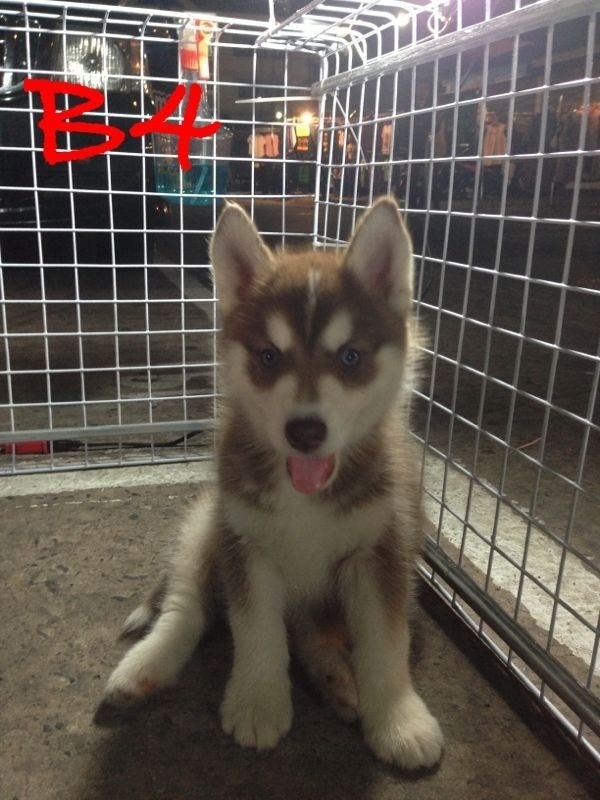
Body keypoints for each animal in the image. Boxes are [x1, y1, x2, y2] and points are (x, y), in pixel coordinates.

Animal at [103, 197, 444, 770]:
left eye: (350, 357)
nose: (305, 431)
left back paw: (336, 679)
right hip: (206, 523)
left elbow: (384, 642)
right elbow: (255, 630)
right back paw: (146, 665)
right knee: (188, 605)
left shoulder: (384, 548)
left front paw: (399, 719)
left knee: (310, 633)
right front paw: (257, 702)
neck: (305, 499)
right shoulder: (244, 541)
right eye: (268, 357)